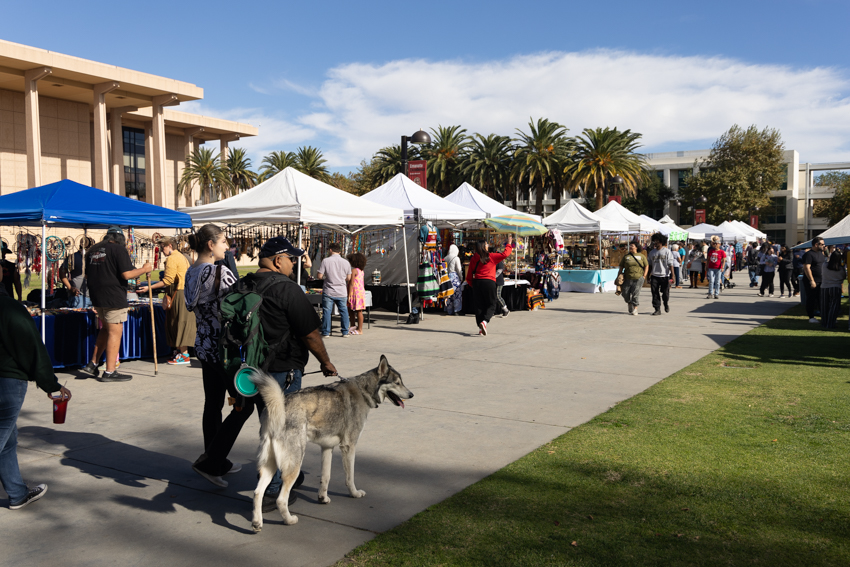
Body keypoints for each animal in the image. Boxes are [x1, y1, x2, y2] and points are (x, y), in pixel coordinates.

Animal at [248, 356, 410, 532]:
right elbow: (350, 477)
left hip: (269, 465)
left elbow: (326, 476)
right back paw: (289, 520)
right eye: (397, 382)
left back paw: (257, 523)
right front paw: (354, 494)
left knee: (257, 492)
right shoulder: (349, 446)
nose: (411, 394)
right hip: (294, 465)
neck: (363, 390)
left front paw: (322, 498)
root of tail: (277, 406)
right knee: (280, 499)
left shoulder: (327, 448)